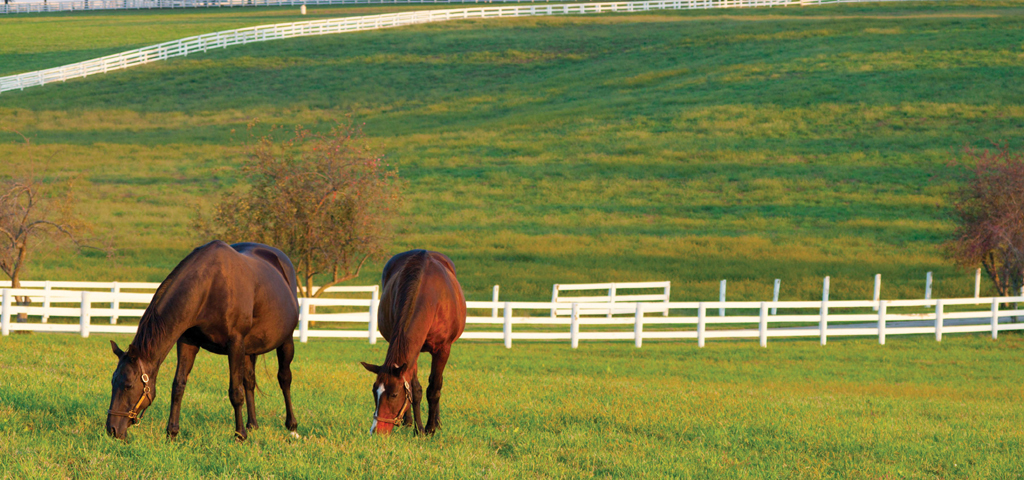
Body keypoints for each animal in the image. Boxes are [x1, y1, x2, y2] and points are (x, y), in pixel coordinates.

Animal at [105, 241, 300, 442]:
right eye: (113, 382)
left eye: (128, 385)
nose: (112, 429)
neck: (210, 287)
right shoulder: (187, 342)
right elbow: (178, 386)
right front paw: (172, 433)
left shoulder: (235, 344)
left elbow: (235, 392)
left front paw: (240, 435)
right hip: (249, 349)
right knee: (250, 381)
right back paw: (252, 424)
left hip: (286, 341)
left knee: (284, 378)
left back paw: (292, 427)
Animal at [360, 249, 466, 435]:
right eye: (374, 391)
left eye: (394, 394)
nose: (377, 430)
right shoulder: (413, 351)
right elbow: (414, 390)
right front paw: (419, 429)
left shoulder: (443, 349)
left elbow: (434, 388)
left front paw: (430, 428)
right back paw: (408, 422)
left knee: (437, 383)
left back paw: (437, 422)